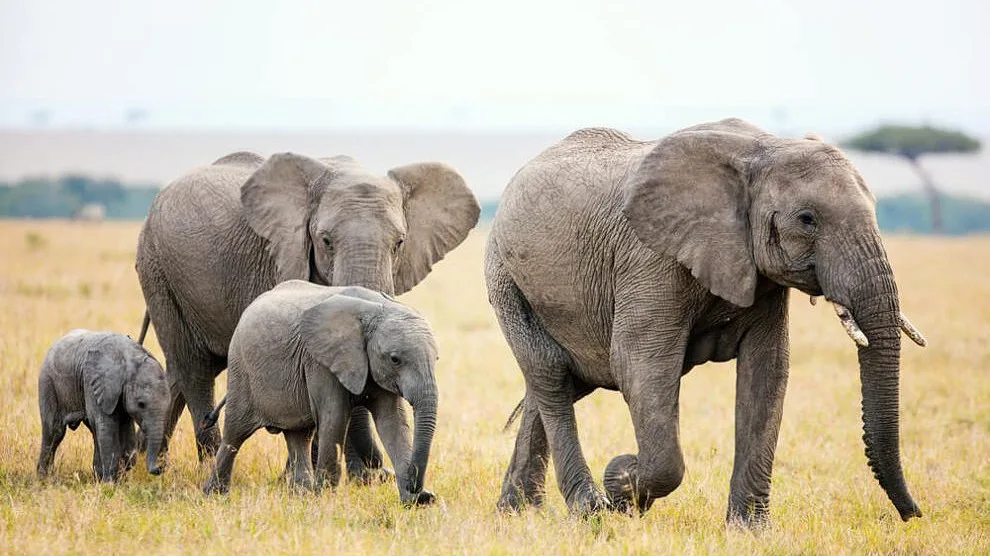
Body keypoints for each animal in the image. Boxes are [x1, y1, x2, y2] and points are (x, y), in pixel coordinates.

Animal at [37, 330, 169, 481]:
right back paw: (44, 479)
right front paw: (110, 483)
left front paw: (121, 477)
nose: (161, 468)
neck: (130, 358)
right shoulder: (93, 383)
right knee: (55, 431)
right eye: (141, 404)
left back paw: (97, 476)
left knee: (93, 431)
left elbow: (126, 431)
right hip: (48, 382)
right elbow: (107, 427)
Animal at [135, 150, 478, 479]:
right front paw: (349, 477)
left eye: (399, 243)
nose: (380, 469)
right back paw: (199, 465)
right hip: (159, 271)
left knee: (178, 373)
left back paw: (143, 463)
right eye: (326, 241)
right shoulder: (281, 256)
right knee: (194, 370)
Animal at [202, 281, 438, 506]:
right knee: (235, 434)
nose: (416, 485)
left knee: (299, 435)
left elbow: (392, 422)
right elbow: (334, 418)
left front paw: (418, 502)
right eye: (395, 359)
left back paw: (302, 496)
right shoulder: (320, 362)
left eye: (436, 359)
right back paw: (214, 496)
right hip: (241, 370)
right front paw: (325, 500)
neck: (377, 308)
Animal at [485, 119, 927, 526]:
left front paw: (749, 530)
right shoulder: (651, 258)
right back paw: (588, 510)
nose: (913, 515)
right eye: (807, 219)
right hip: (505, 278)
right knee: (551, 375)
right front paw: (622, 484)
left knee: (560, 384)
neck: (764, 149)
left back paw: (518, 512)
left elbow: (767, 371)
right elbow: (640, 365)